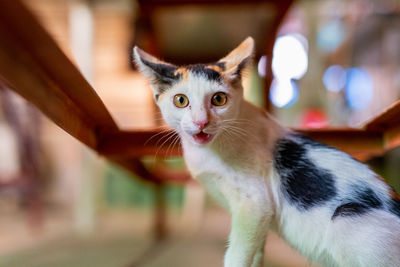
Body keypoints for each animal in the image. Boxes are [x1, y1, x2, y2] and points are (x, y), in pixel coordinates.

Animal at [134, 37, 400, 267]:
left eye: (219, 99)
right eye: (181, 100)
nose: (201, 122)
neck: (210, 150)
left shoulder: (254, 204)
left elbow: (237, 255)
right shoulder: (260, 216)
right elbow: (257, 250)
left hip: (346, 219)